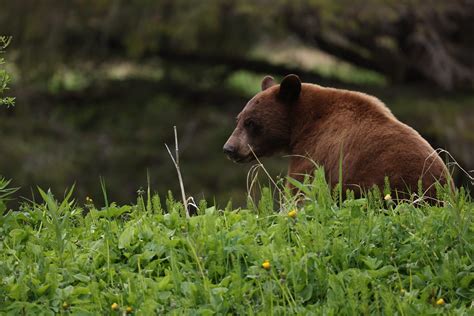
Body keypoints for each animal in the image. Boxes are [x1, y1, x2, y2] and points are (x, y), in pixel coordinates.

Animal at [223, 74, 452, 200]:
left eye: (251, 122)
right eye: (239, 119)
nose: (229, 148)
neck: (302, 124)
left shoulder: (316, 152)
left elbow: (300, 189)